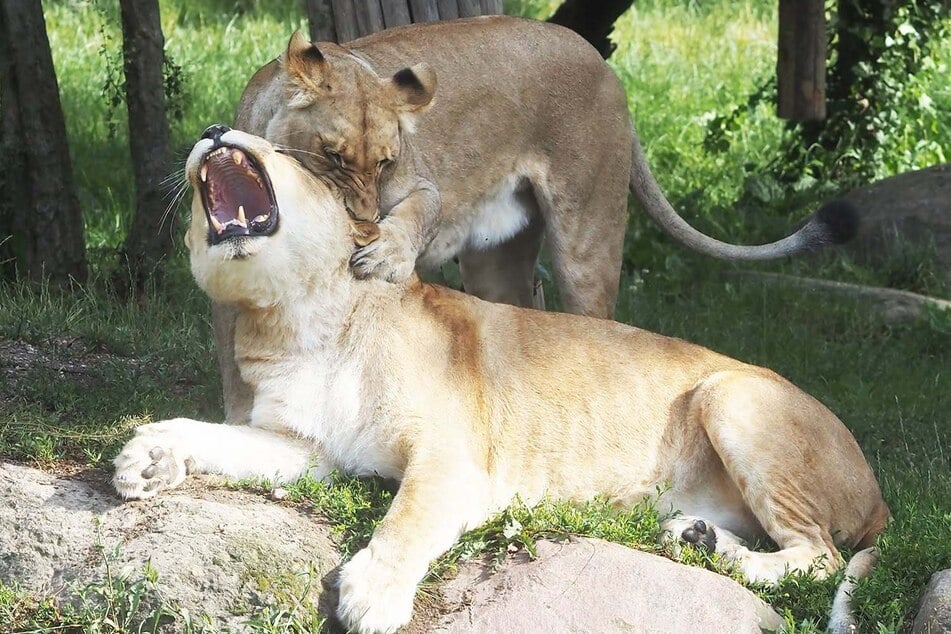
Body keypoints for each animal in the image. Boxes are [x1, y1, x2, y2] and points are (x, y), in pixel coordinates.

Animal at [113, 128, 887, 634]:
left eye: (282, 154)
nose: (213, 130)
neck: (294, 317)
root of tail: (878, 491)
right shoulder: (307, 449)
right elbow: (217, 436)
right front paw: (148, 454)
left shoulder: (455, 461)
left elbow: (408, 516)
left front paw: (372, 593)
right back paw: (696, 540)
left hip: (732, 395)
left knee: (821, 556)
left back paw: (733, 561)